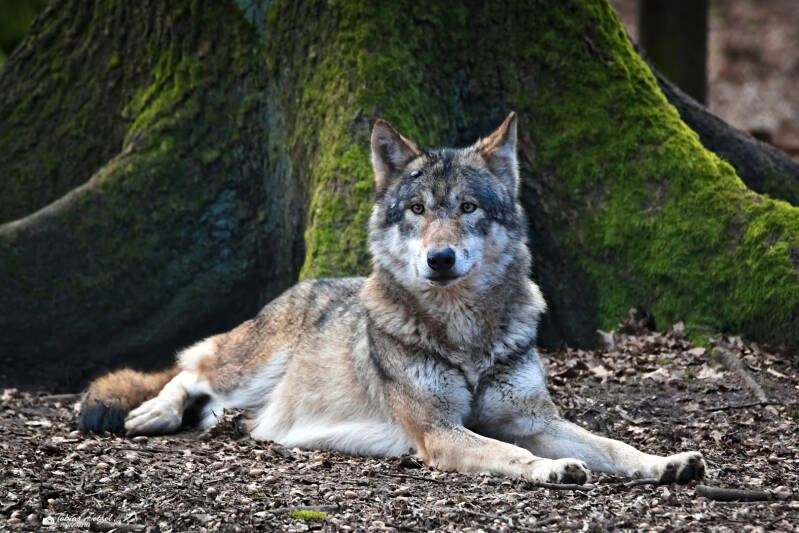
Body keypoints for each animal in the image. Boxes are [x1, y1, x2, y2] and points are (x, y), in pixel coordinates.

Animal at [80, 113, 705, 485]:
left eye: (468, 208)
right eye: (418, 210)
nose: (440, 259)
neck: (467, 335)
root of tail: (307, 283)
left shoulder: (534, 419)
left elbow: (613, 445)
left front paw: (666, 461)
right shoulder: (438, 431)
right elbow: (514, 454)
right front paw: (552, 469)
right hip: (248, 366)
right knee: (190, 365)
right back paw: (153, 412)